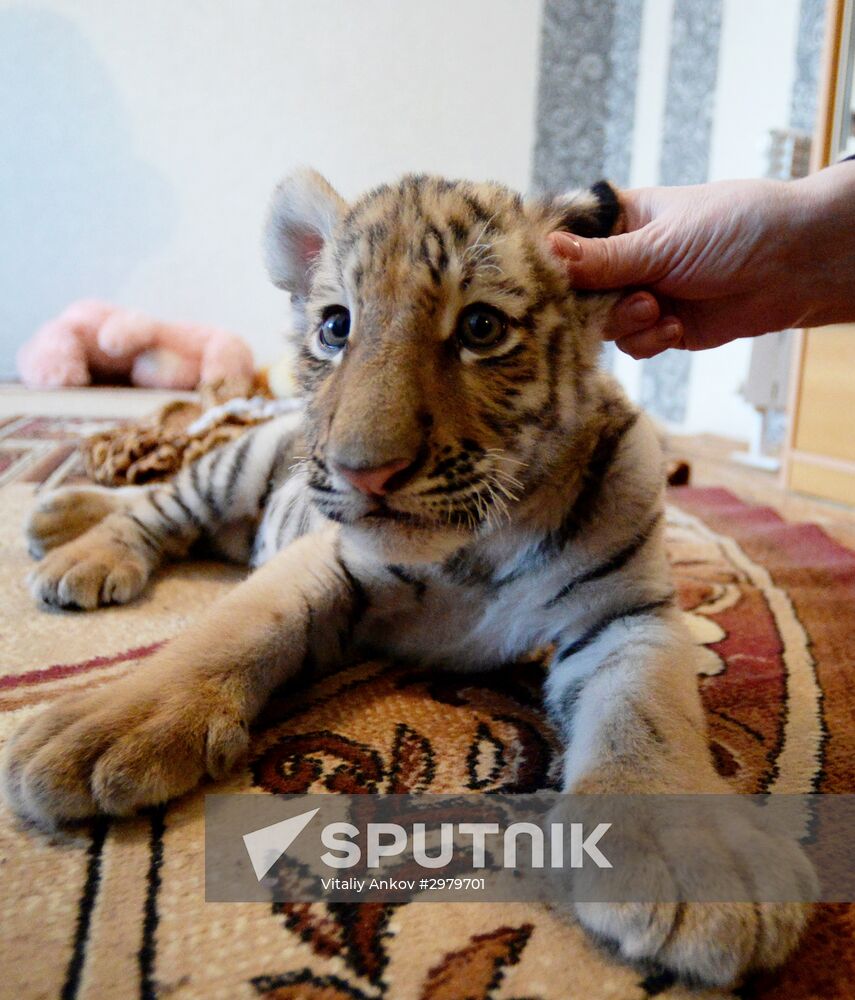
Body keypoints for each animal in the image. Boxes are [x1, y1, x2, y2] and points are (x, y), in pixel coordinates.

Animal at [2, 170, 812, 987]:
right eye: (336, 327)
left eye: (481, 327)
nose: (363, 471)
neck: (487, 539)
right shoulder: (327, 560)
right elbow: (229, 630)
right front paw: (99, 729)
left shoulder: (627, 612)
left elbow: (649, 712)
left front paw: (695, 860)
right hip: (243, 464)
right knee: (160, 505)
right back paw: (71, 538)